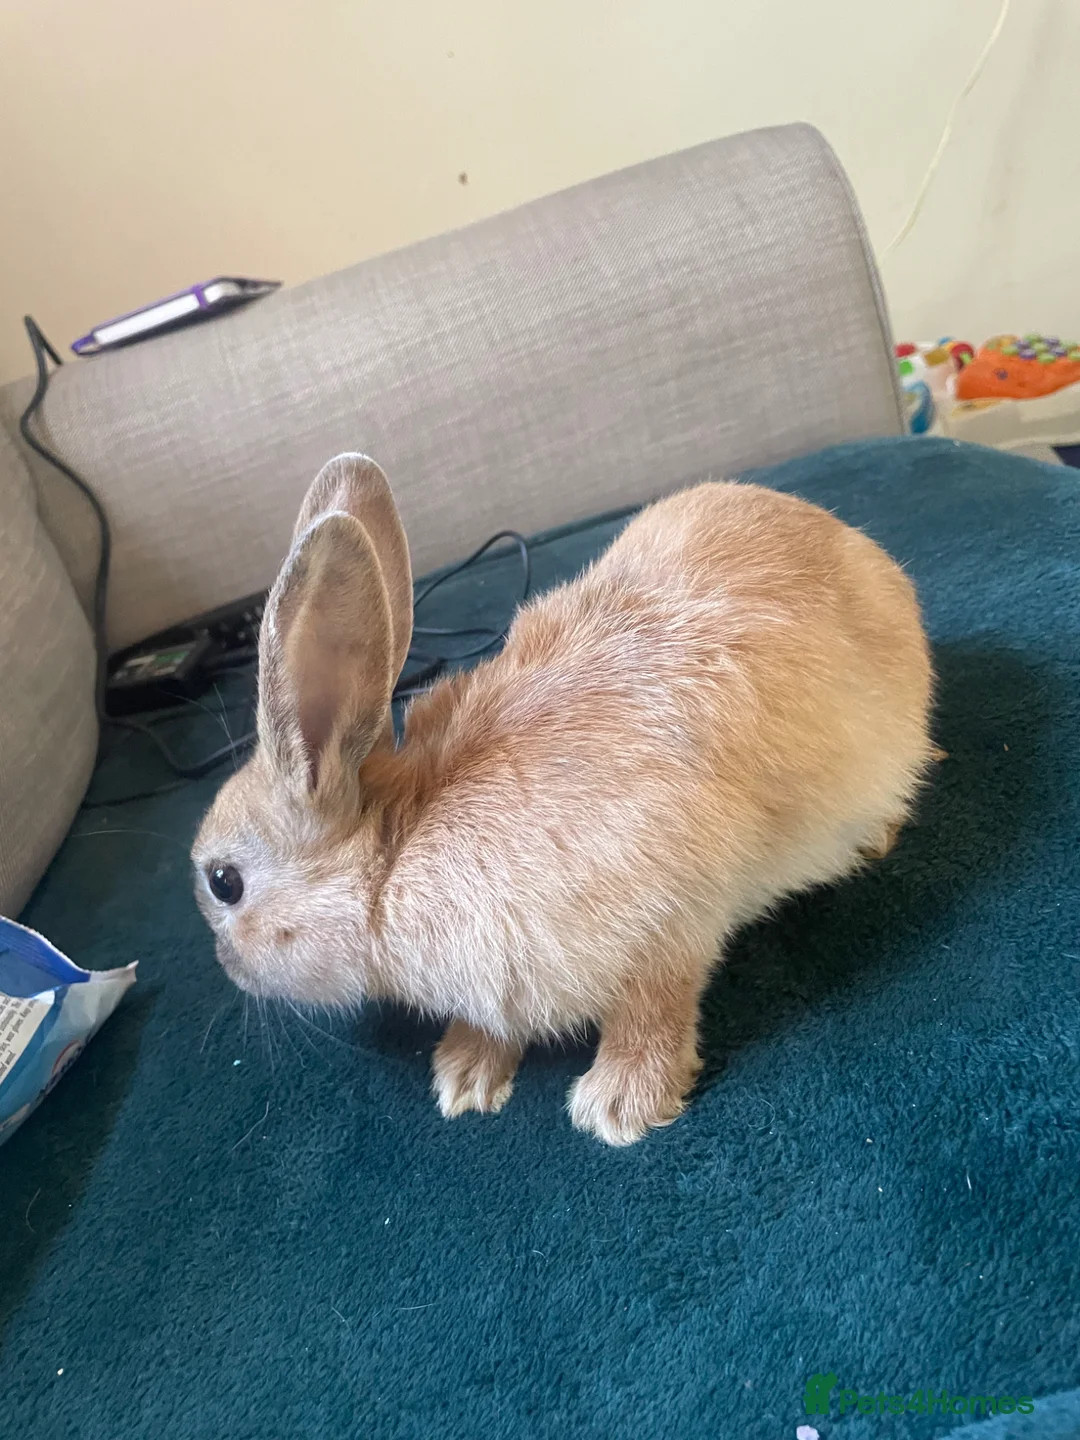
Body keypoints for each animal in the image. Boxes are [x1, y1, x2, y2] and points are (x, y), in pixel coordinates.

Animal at [192, 454, 934, 1145]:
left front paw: (620, 1105)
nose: (225, 968)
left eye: (224, 882)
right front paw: (465, 1074)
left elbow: (654, 1006)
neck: (394, 856)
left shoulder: (670, 912)